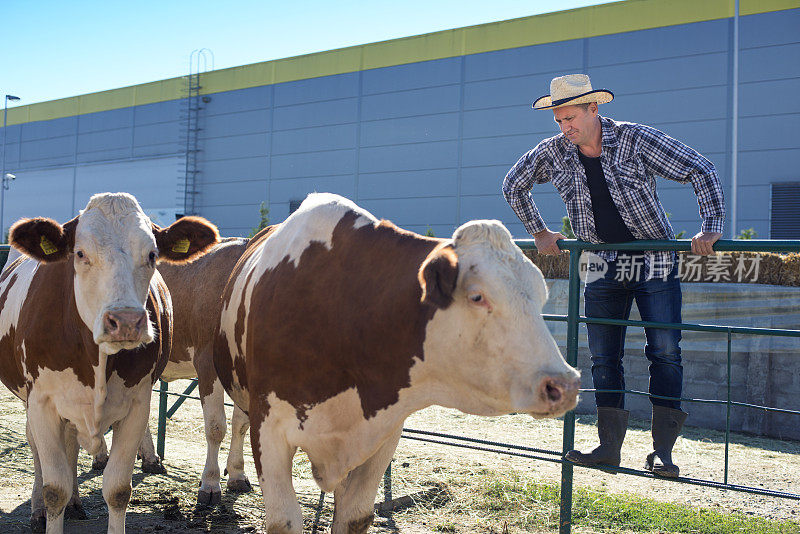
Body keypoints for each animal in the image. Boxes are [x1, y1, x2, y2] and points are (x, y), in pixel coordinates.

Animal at [0, 194, 217, 534]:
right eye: (79, 253)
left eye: (152, 254)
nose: (126, 321)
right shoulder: (41, 402)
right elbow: (54, 488)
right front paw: (47, 507)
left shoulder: (137, 404)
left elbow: (117, 490)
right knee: (36, 448)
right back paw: (37, 510)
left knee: (71, 444)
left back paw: (75, 503)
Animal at [212, 194, 580, 534]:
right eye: (477, 296)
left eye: (541, 297)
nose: (565, 384)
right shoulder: (270, 429)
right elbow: (284, 520)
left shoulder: (382, 435)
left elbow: (355, 516)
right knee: (226, 424)